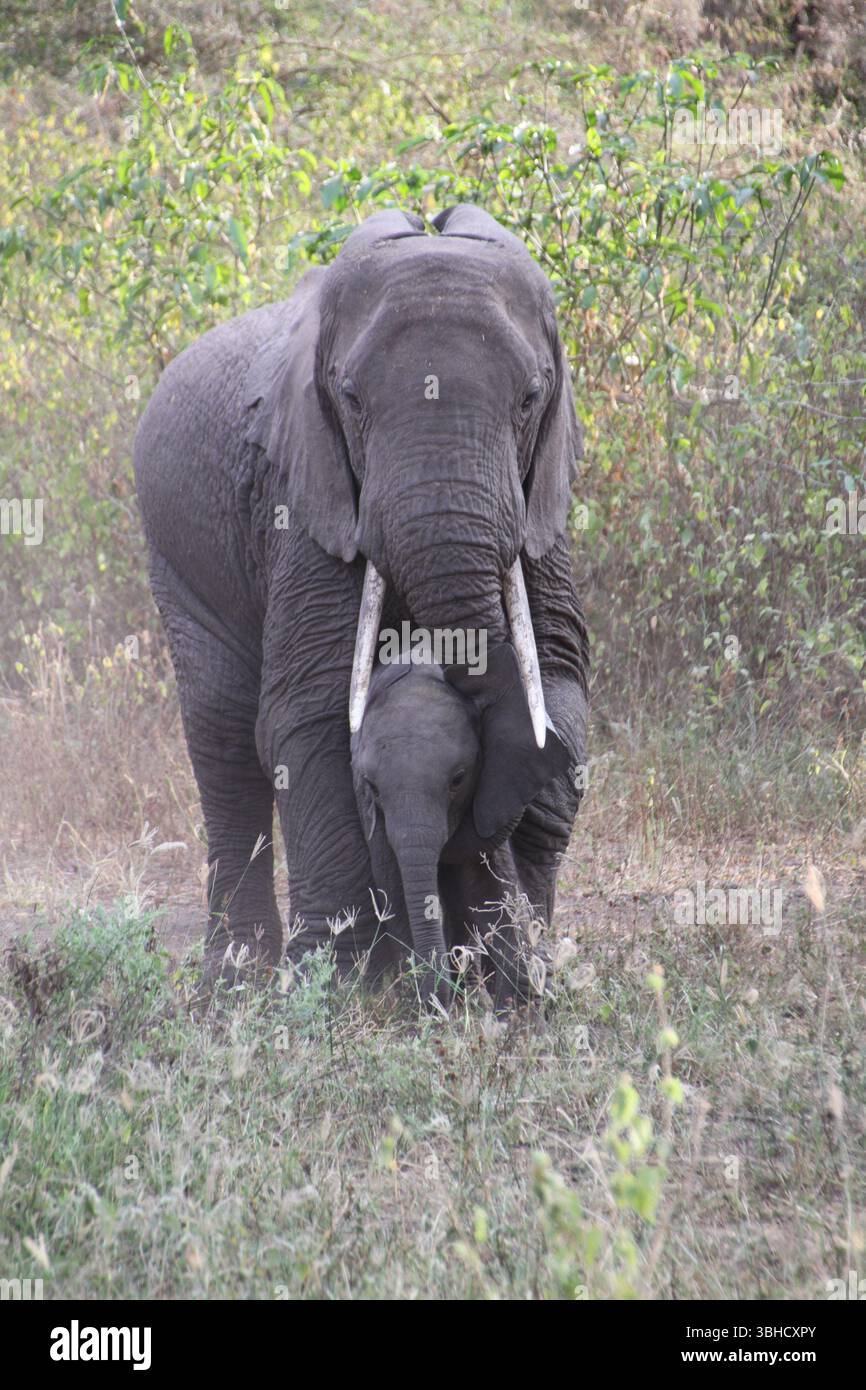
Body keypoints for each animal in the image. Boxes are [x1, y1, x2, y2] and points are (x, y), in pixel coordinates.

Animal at [351, 648, 572, 1007]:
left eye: (458, 779)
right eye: (372, 786)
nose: (438, 1000)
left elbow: (486, 886)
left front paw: (516, 1012)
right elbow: (396, 886)